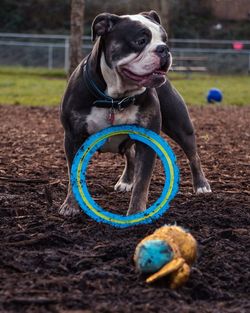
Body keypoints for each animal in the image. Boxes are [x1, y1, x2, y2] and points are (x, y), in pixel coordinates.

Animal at [60, 9, 211, 214]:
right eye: (140, 41)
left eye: (164, 39)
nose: (164, 49)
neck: (115, 98)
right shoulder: (73, 137)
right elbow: (73, 175)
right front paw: (70, 206)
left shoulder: (147, 142)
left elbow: (142, 184)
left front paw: (136, 214)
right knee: (129, 154)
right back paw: (126, 180)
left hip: (182, 127)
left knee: (193, 155)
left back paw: (201, 185)